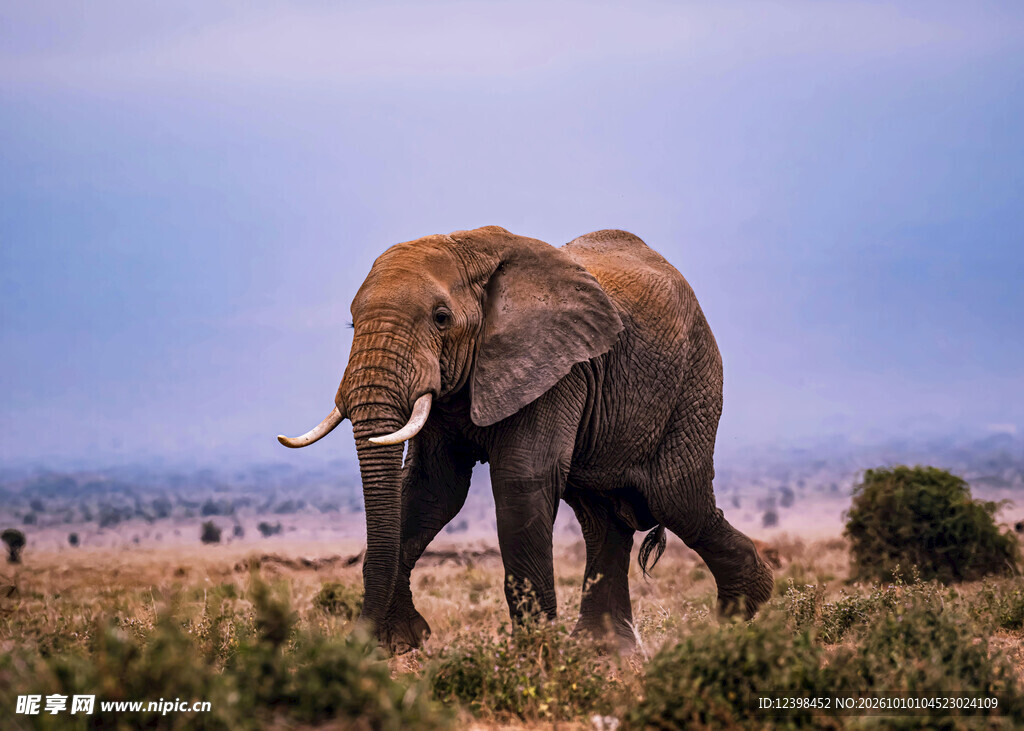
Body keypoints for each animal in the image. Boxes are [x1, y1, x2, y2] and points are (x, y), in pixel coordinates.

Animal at [278, 226, 774, 652]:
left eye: (441, 318)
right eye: (351, 324)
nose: (355, 645)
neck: (469, 250)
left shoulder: (556, 367)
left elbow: (521, 483)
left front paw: (535, 663)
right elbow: (430, 489)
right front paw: (399, 644)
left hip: (693, 382)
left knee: (675, 498)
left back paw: (743, 612)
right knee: (602, 519)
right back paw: (604, 654)